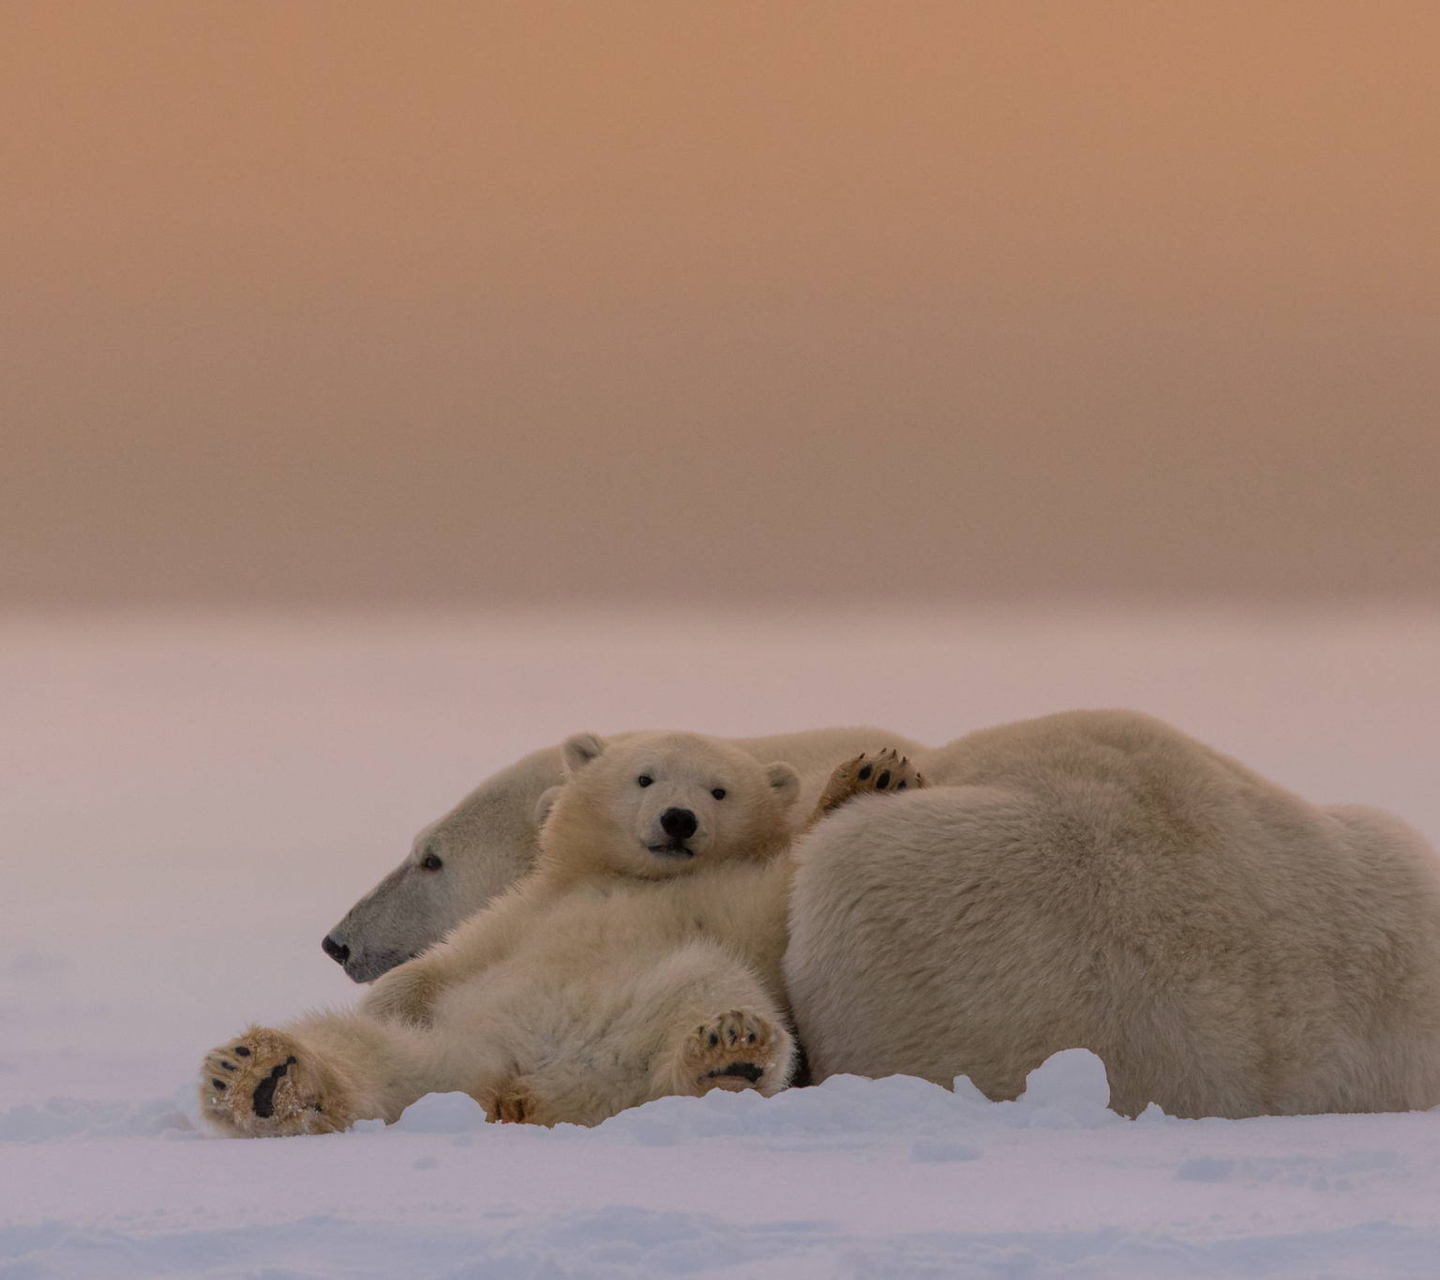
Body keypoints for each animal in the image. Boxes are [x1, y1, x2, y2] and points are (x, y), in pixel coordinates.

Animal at [197, 722, 921, 1134]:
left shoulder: (731, 896)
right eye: (645, 777)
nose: (678, 819)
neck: (630, 878)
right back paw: (257, 1075)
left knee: (709, 994)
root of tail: (515, 1089)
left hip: (655, 1013)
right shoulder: (530, 905)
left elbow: (782, 892)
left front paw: (873, 775)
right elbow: (452, 960)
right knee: (358, 1048)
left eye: (720, 790)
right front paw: (869, 771)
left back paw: (727, 1053)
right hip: (450, 1047)